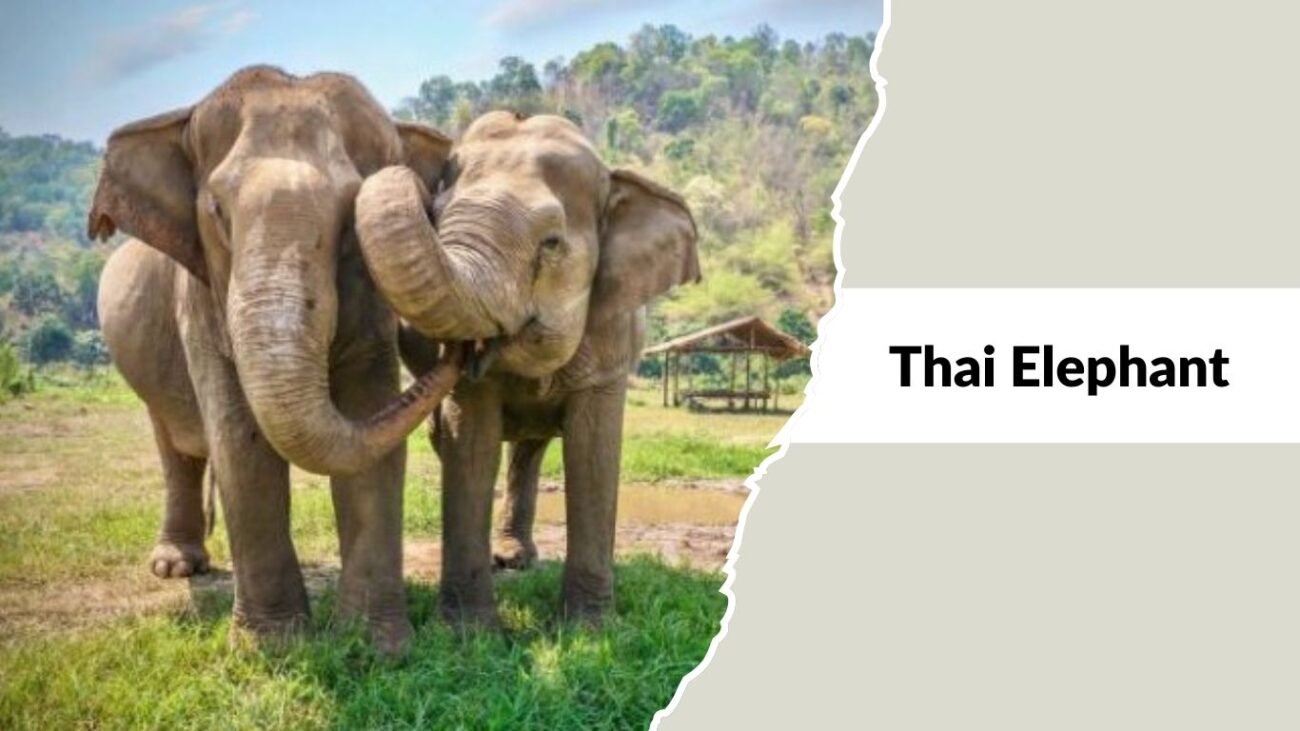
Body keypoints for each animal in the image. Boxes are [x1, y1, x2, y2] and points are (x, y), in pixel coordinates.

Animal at [92, 65, 464, 652]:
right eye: (217, 211)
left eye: (351, 216)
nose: (461, 349)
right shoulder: (200, 298)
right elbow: (239, 442)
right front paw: (272, 648)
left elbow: (369, 418)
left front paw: (376, 646)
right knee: (176, 446)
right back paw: (176, 567)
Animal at [353, 110, 700, 622]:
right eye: (436, 217)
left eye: (551, 244)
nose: (465, 349)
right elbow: (471, 444)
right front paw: (468, 631)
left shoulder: (611, 338)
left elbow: (593, 451)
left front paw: (590, 625)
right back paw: (505, 559)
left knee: (530, 449)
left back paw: (518, 558)